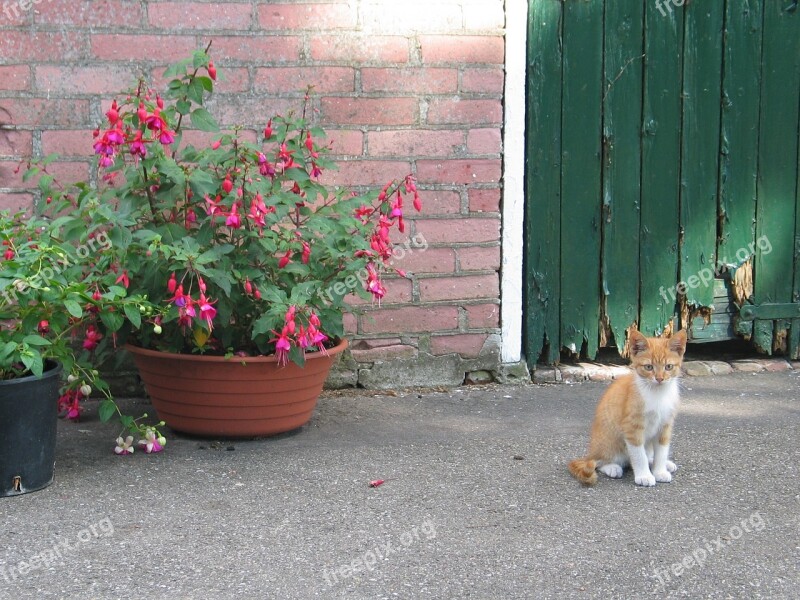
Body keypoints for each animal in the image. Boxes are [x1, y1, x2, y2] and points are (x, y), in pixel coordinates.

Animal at [568, 328, 688, 488]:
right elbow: (638, 455)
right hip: (609, 441)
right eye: (649, 367)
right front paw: (644, 476)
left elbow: (662, 451)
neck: (657, 394)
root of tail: (590, 453)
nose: (659, 379)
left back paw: (662, 463)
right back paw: (612, 467)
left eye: (668, 367)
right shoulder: (631, 427)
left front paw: (660, 471)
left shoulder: (665, 425)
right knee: (598, 462)